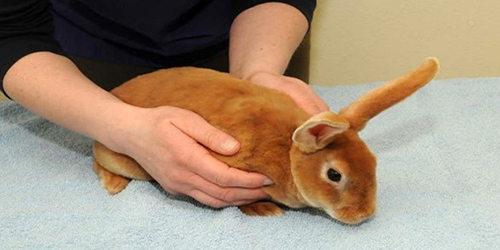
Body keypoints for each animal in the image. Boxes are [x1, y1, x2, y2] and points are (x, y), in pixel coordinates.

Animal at [93, 57, 438, 224]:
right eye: (334, 174)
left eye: (374, 162)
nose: (364, 214)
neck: (289, 153)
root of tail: (116, 92)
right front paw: (265, 210)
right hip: (122, 156)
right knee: (98, 162)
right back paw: (113, 184)